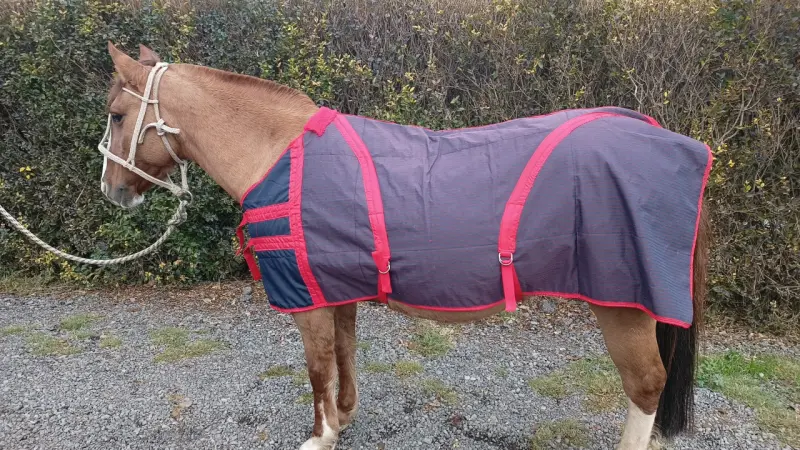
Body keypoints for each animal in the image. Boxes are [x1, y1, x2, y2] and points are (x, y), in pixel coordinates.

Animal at [99, 42, 711, 450]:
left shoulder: (308, 299)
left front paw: (320, 435)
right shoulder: (337, 288)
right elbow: (344, 355)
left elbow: (317, 366)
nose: (111, 190)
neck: (279, 154)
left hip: (624, 308)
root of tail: (668, 137)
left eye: (117, 114)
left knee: (646, 386)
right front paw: (344, 419)